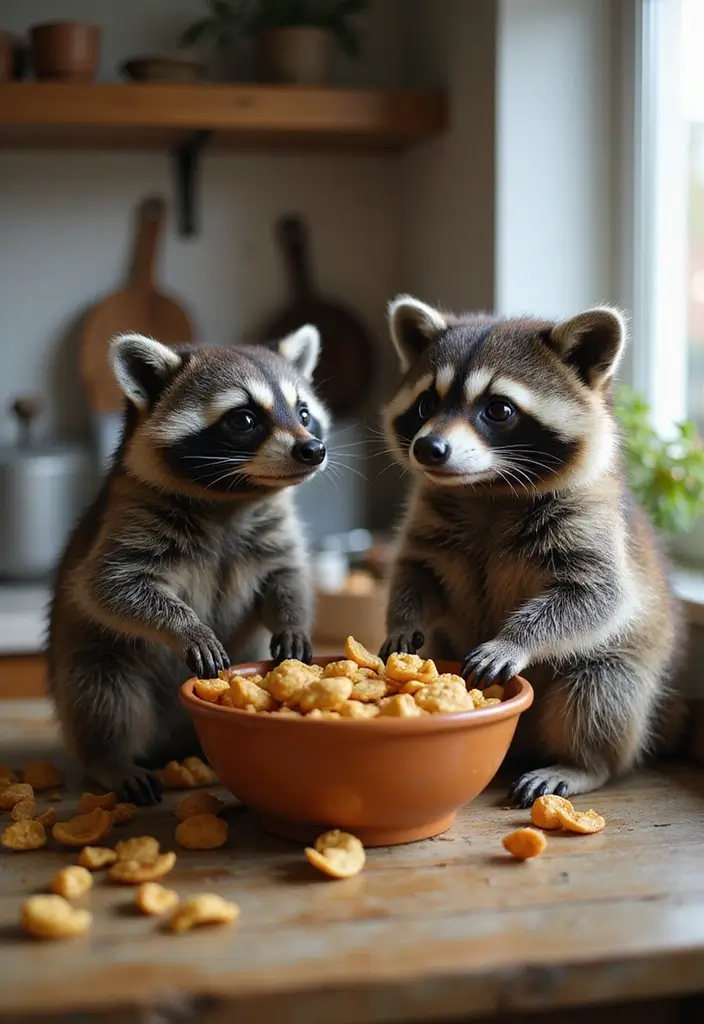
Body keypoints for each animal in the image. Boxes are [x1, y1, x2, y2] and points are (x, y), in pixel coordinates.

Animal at [49, 327, 329, 804]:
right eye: (244, 420)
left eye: (303, 413)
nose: (314, 449)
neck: (232, 498)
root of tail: (168, 742)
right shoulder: (129, 515)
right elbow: (110, 585)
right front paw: (186, 626)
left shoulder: (275, 528)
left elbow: (288, 577)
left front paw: (293, 622)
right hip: (95, 658)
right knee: (104, 697)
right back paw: (111, 762)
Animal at [380, 295, 682, 806]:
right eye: (425, 404)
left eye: (498, 410)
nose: (429, 448)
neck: (487, 490)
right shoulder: (430, 515)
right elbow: (415, 571)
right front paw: (402, 619)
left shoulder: (592, 522)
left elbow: (597, 596)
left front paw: (515, 639)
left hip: (620, 669)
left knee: (599, 693)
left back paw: (583, 764)